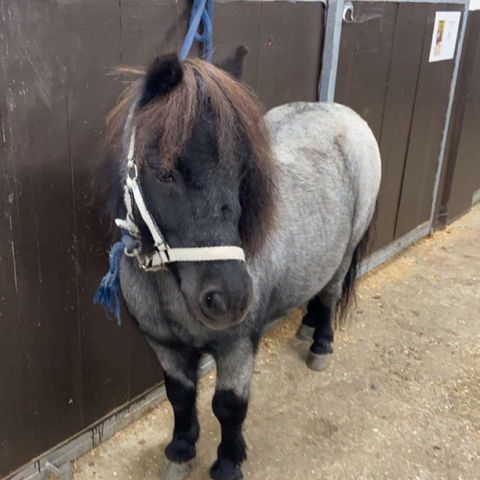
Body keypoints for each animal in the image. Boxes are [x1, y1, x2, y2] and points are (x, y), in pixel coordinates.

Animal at [99, 52, 380, 480]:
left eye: (243, 171)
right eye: (164, 172)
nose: (228, 298)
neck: (170, 290)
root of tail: (346, 114)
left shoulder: (237, 346)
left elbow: (229, 407)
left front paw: (228, 462)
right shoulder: (164, 345)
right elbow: (180, 396)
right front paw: (181, 450)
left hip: (344, 255)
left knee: (329, 296)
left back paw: (321, 343)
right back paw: (305, 326)